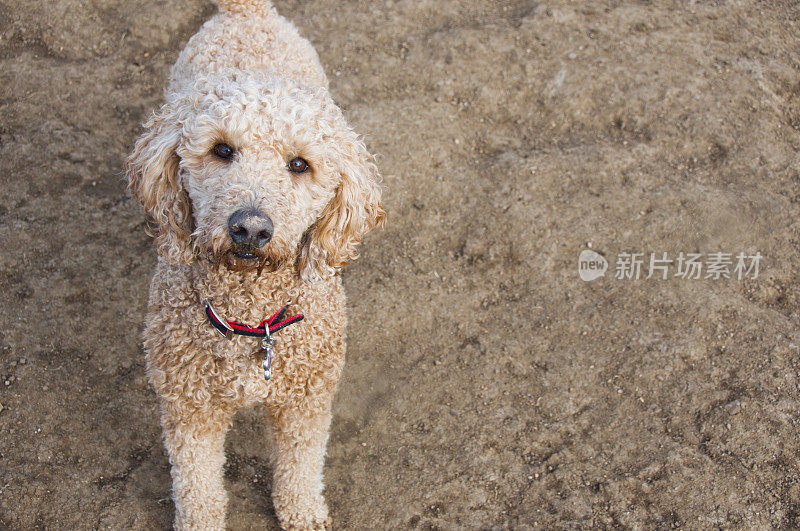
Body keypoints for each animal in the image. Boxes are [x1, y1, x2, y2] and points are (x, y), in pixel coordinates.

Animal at [125, 2, 384, 528]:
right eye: (222, 150)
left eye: (300, 164)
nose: (249, 227)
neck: (249, 314)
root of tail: (248, 9)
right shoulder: (189, 407)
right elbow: (197, 484)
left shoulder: (305, 401)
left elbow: (300, 466)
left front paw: (303, 513)